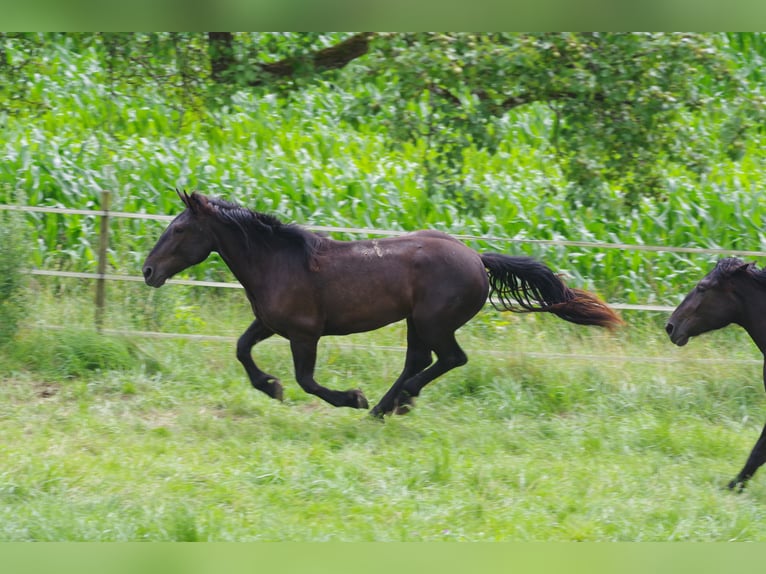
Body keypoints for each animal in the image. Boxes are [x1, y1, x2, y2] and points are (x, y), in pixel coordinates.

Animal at [144, 192, 624, 418]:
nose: (148, 271)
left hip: (433, 322)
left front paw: (352, 397)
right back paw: (388, 406)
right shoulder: (268, 323)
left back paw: (387, 404)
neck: (278, 261)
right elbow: (242, 350)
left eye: (181, 229)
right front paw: (270, 386)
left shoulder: (304, 333)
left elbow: (307, 381)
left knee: (448, 359)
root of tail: (477, 259)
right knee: (421, 361)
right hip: (418, 323)